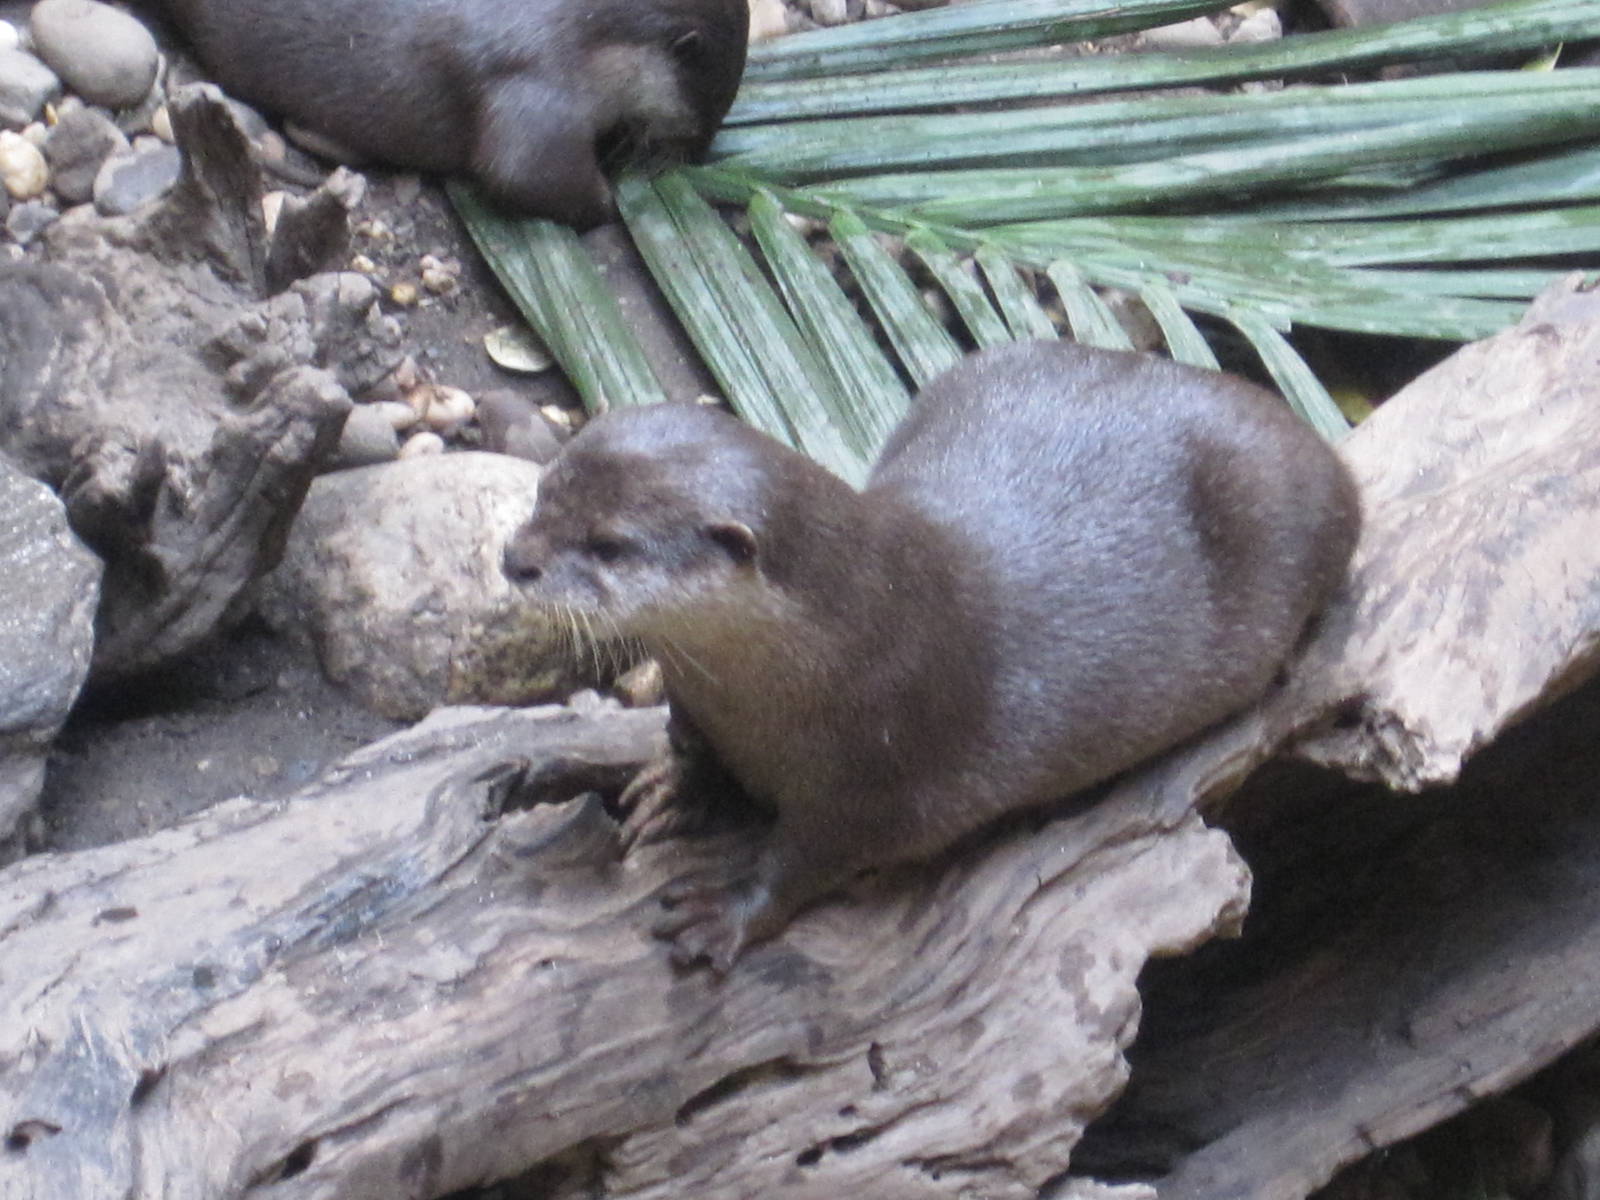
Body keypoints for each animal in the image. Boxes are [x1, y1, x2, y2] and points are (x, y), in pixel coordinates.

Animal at [153, 0, 748, 227]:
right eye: (707, 112)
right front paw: (611, 198)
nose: (700, 150)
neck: (592, 39)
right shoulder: (541, 87)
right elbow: (525, 175)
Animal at [503, 340, 1361, 971]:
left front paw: (727, 914)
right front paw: (672, 788)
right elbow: (695, 750)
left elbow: (813, 856)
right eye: (544, 492)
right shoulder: (702, 702)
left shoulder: (883, 765)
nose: (515, 559)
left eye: (610, 544)